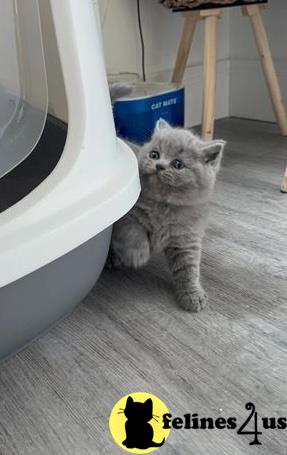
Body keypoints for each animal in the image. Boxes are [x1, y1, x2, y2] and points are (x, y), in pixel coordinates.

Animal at [109, 119, 225, 314]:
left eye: (178, 164)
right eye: (154, 154)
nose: (159, 166)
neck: (164, 207)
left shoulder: (186, 238)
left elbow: (189, 268)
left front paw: (193, 295)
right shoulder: (128, 216)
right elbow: (134, 233)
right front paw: (138, 256)